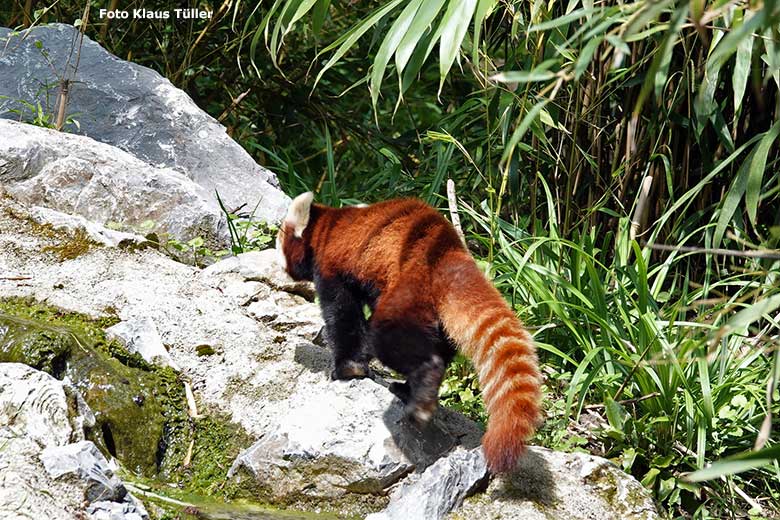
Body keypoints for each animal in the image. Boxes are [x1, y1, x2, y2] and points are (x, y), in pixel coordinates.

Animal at [278, 193, 540, 474]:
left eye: (280, 243)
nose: (279, 263)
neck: (324, 227)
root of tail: (444, 250)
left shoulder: (334, 267)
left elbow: (342, 318)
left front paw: (348, 368)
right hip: (437, 318)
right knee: (438, 350)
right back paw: (409, 391)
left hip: (406, 290)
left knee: (396, 342)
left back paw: (421, 396)